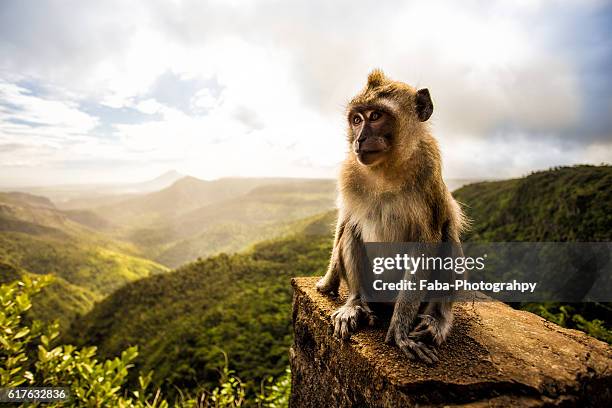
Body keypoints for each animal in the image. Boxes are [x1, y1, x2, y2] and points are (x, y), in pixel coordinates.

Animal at [318, 69, 466, 364]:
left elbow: (428, 240)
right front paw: (328, 281)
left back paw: (437, 319)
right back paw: (355, 303)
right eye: (356, 119)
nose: (359, 139)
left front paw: (400, 330)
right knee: (352, 230)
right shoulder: (349, 172)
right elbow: (345, 220)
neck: (385, 168)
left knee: (447, 236)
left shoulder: (428, 167)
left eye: (376, 116)